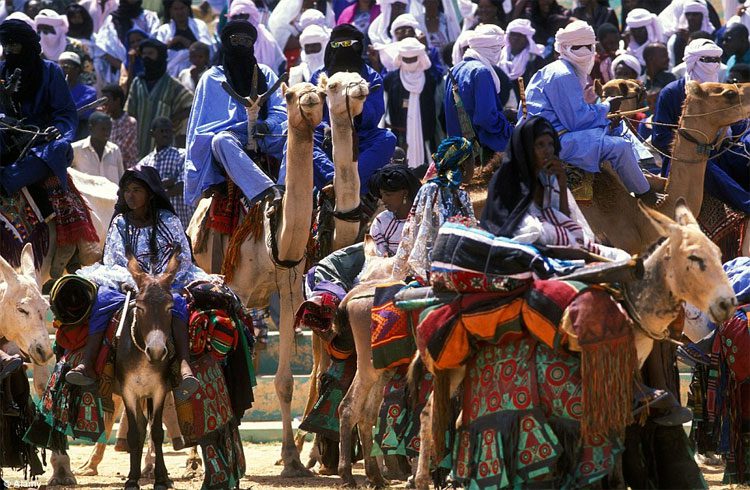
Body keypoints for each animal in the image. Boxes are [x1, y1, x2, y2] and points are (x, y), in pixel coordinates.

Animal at [414, 199, 736, 490]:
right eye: (695, 259)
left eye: (720, 254)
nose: (728, 304)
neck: (627, 307)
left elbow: (620, 423)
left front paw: (613, 481)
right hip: (451, 367)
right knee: (429, 413)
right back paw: (423, 479)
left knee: (456, 419)